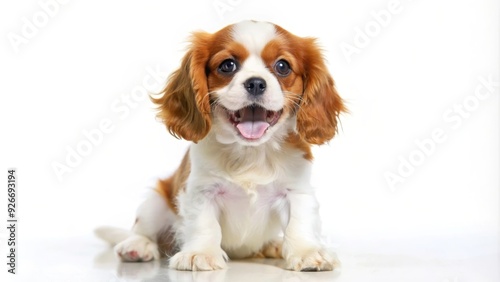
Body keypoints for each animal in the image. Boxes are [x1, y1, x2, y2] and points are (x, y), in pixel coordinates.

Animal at [96, 19, 346, 270]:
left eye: (283, 66)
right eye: (228, 65)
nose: (256, 83)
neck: (250, 152)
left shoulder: (297, 190)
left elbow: (299, 222)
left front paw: (308, 252)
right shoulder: (202, 191)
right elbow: (205, 224)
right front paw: (200, 253)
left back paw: (271, 245)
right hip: (156, 200)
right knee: (143, 228)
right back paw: (137, 246)